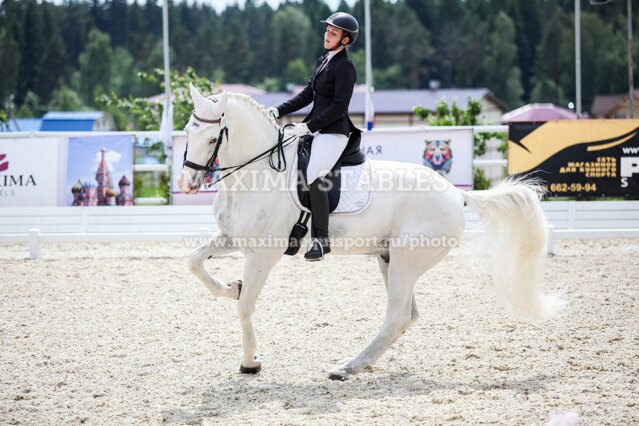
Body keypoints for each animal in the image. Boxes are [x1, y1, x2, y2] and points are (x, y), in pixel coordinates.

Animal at [179, 85, 564, 382]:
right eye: (187, 130)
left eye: (213, 138)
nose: (187, 184)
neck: (257, 173)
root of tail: (457, 194)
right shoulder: (232, 239)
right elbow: (194, 263)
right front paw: (230, 287)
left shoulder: (264, 253)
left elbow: (245, 306)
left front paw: (250, 363)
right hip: (388, 257)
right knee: (408, 316)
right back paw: (357, 365)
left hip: (407, 262)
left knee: (395, 318)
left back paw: (346, 368)